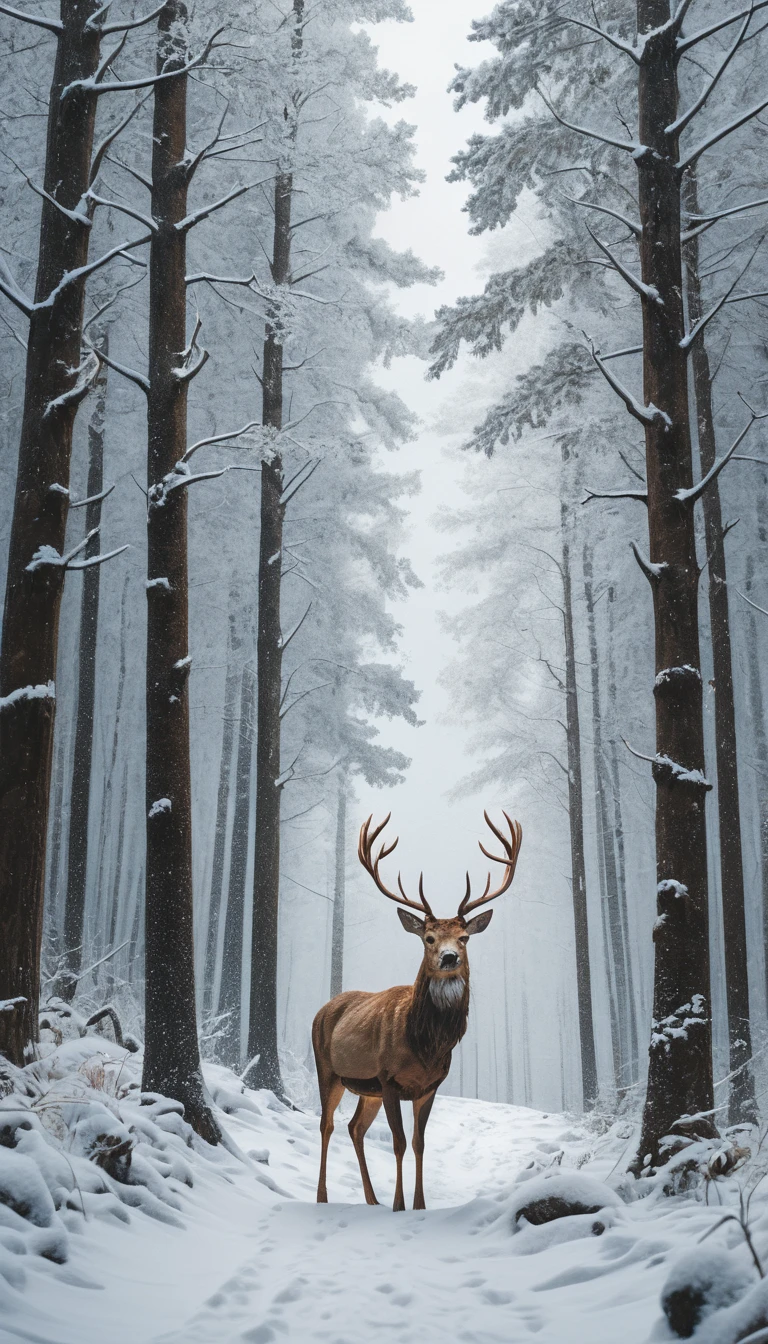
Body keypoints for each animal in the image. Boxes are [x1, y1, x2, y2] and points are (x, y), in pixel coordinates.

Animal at [312, 810, 522, 1212]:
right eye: (428, 938)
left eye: (464, 938)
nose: (449, 957)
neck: (426, 1045)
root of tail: (322, 1008)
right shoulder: (389, 1078)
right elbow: (398, 1142)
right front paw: (399, 1205)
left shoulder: (429, 1086)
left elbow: (420, 1142)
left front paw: (420, 1205)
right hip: (328, 1068)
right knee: (326, 1124)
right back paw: (323, 1197)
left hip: (366, 1089)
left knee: (355, 1127)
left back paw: (371, 1200)